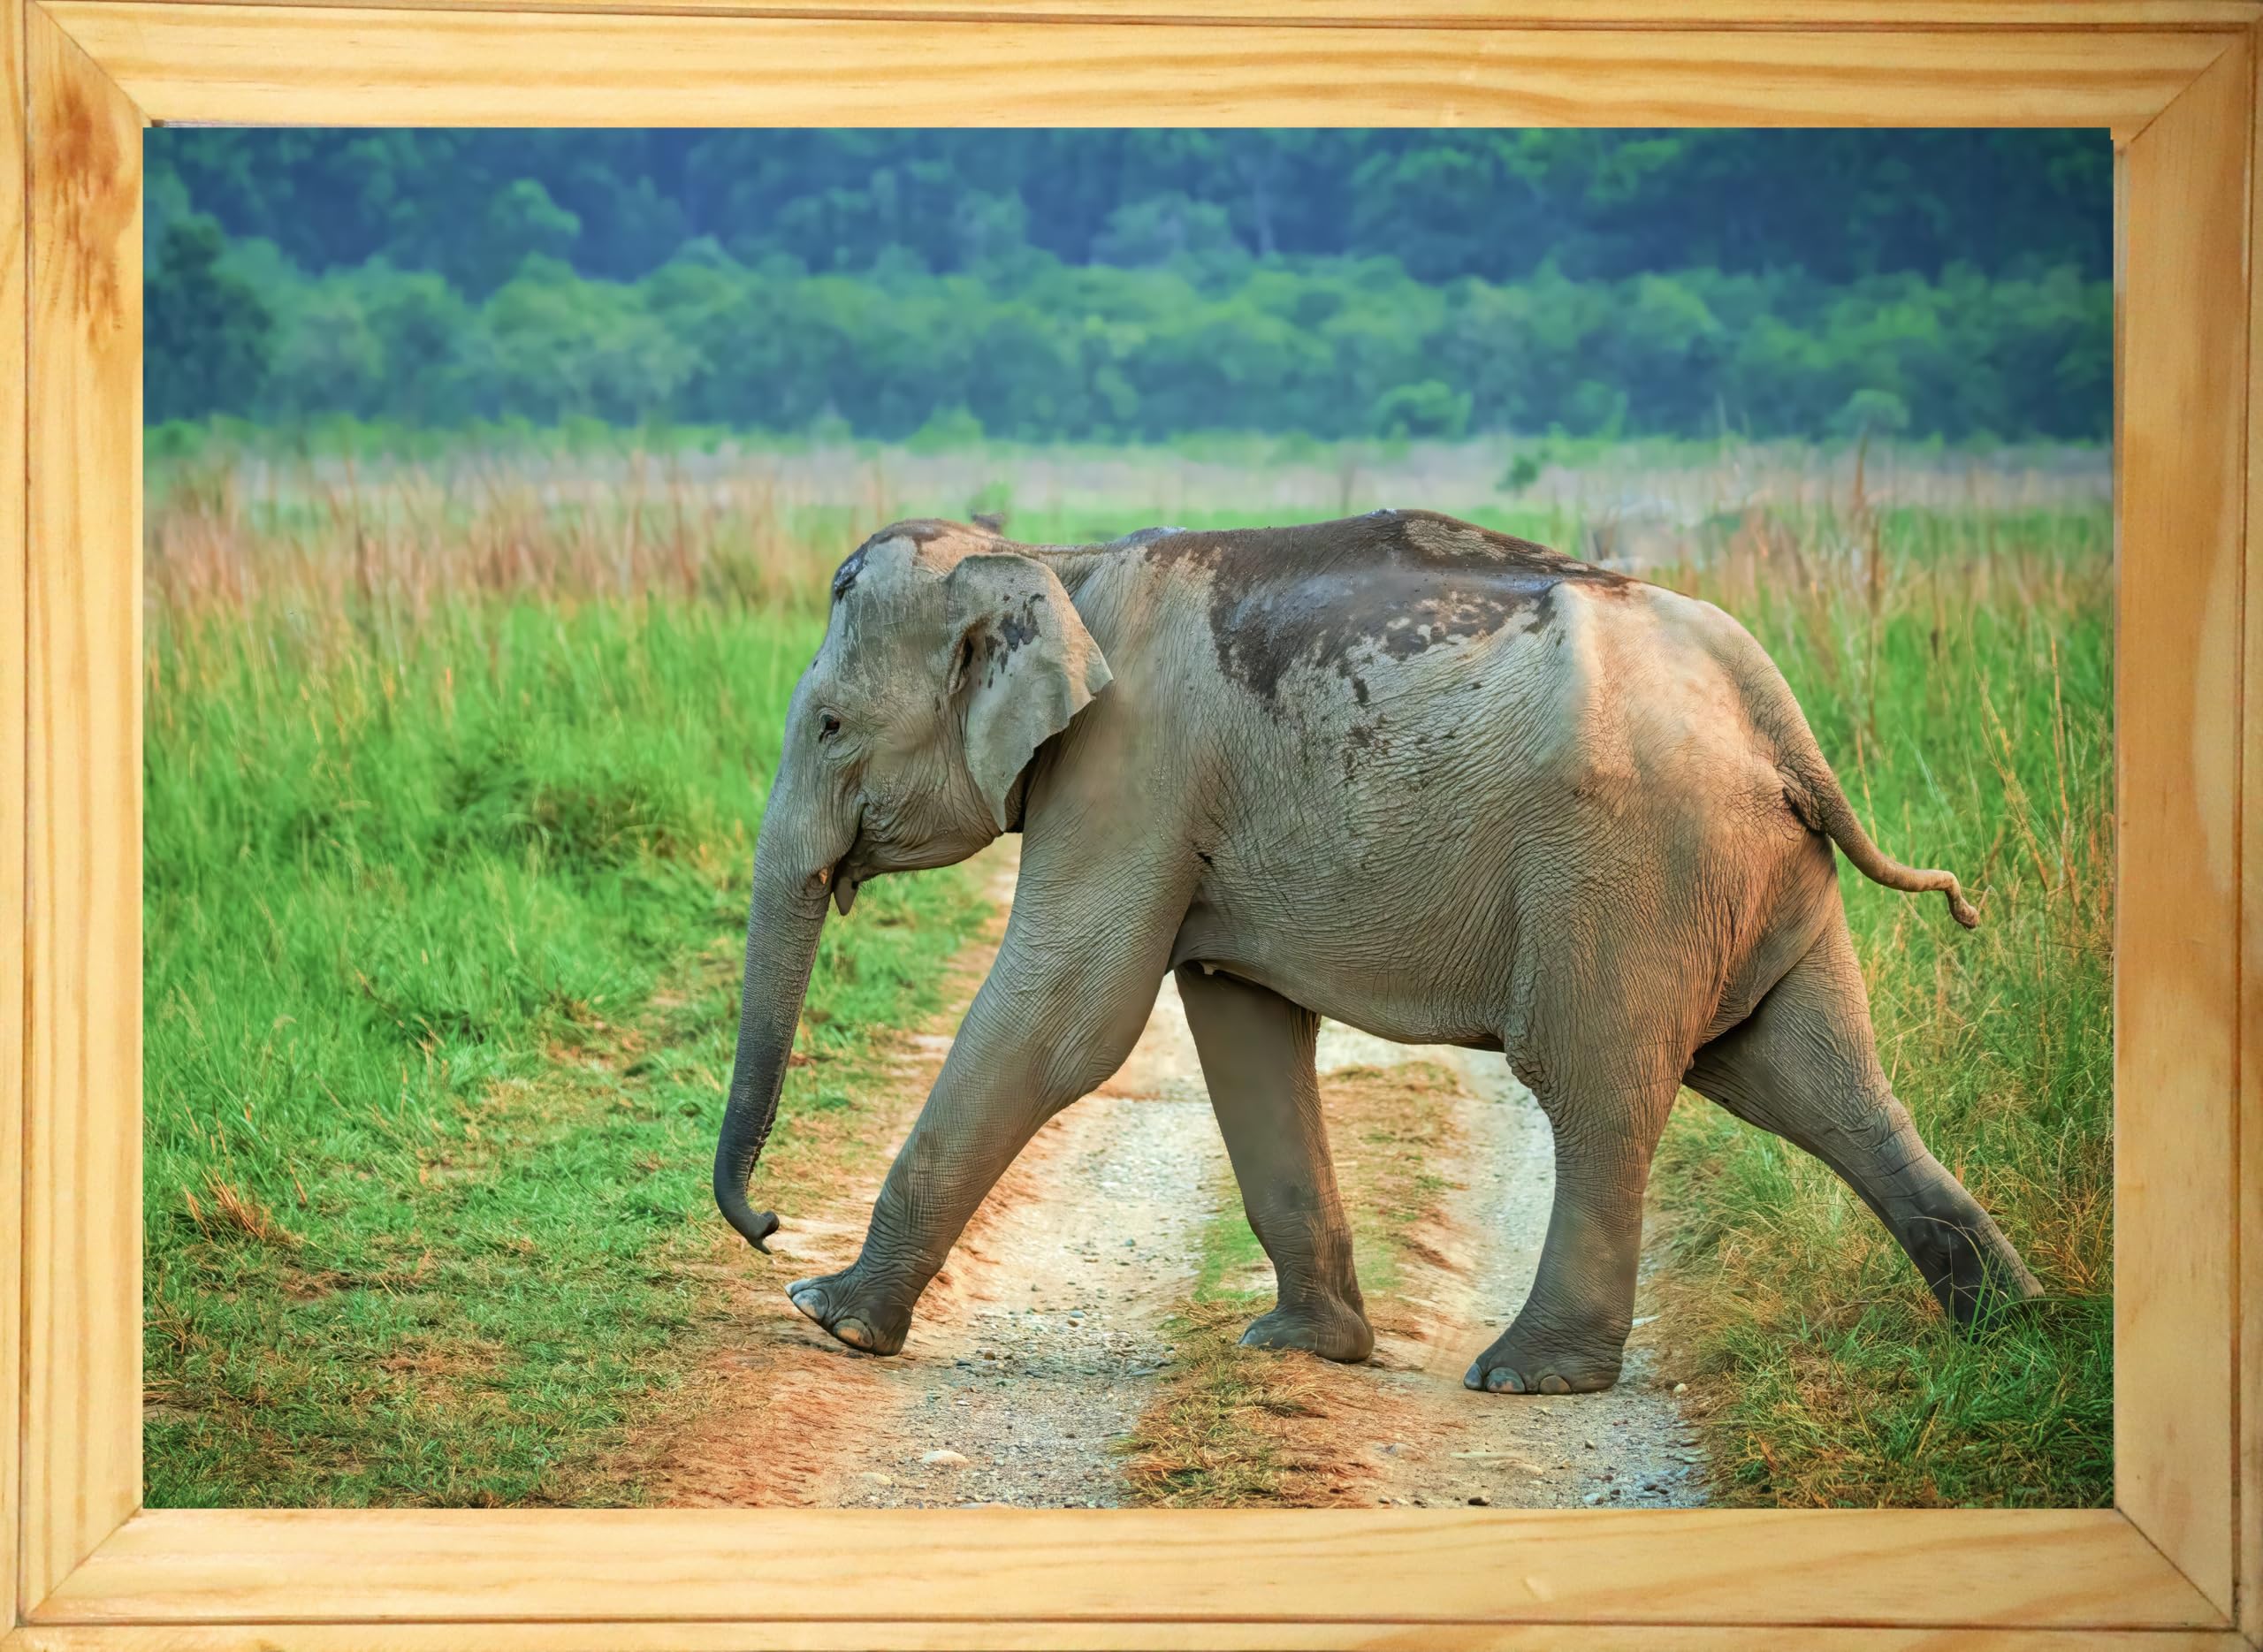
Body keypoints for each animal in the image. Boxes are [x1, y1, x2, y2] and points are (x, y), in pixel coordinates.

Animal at [713, 508, 2041, 1397]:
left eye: (828, 724)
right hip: (1750, 875)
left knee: (1600, 1088)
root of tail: (1774, 710)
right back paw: (2015, 1322)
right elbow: (1238, 1019)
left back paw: (1528, 1375)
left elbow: (1067, 1014)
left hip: (1627, 874)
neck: (1054, 557)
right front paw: (1303, 1349)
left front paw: (829, 1318)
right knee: (1820, 1084)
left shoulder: (1134, 765)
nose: (769, 1223)